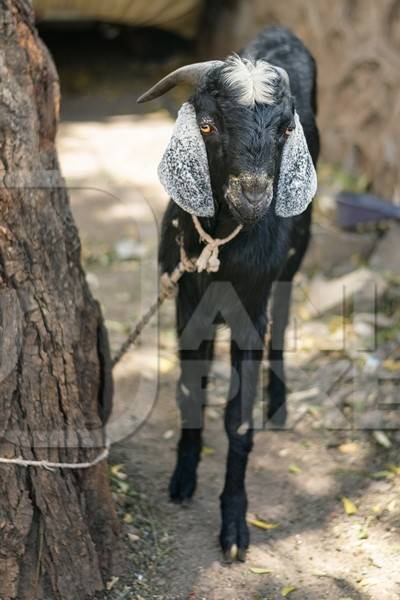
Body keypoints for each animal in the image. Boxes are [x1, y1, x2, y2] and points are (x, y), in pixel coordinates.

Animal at [139, 27, 320, 564]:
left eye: (284, 130)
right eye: (208, 125)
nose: (254, 196)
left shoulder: (249, 313)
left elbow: (238, 422)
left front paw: (235, 525)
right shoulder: (184, 304)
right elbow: (188, 390)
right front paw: (182, 479)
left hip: (296, 255)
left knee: (283, 314)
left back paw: (278, 400)